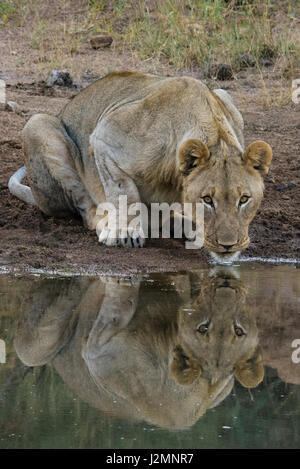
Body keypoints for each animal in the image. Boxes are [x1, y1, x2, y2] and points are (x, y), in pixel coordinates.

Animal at [8, 70, 272, 260]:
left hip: (224, 92)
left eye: (244, 199)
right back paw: (107, 223)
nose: (228, 245)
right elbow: (123, 192)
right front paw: (125, 232)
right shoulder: (104, 137)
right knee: (87, 210)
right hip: (37, 124)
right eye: (207, 200)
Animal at [14, 270, 262, 428]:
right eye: (203, 328)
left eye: (238, 331)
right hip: (31, 350)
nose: (226, 288)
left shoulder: (97, 353)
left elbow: (117, 308)